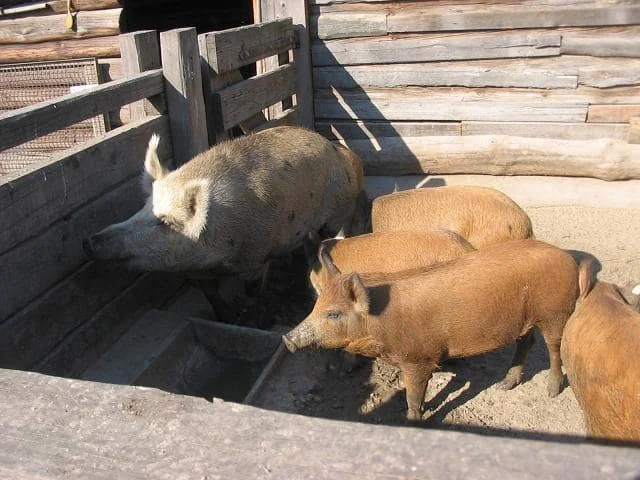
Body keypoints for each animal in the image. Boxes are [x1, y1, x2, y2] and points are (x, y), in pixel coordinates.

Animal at [284, 240, 580, 420]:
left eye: (333, 313)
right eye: (316, 306)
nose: (287, 339)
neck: (382, 324)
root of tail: (568, 257)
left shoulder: (419, 358)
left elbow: (413, 395)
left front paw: (413, 420)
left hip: (556, 312)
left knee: (555, 348)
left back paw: (551, 391)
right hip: (524, 320)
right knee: (525, 343)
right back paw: (504, 385)